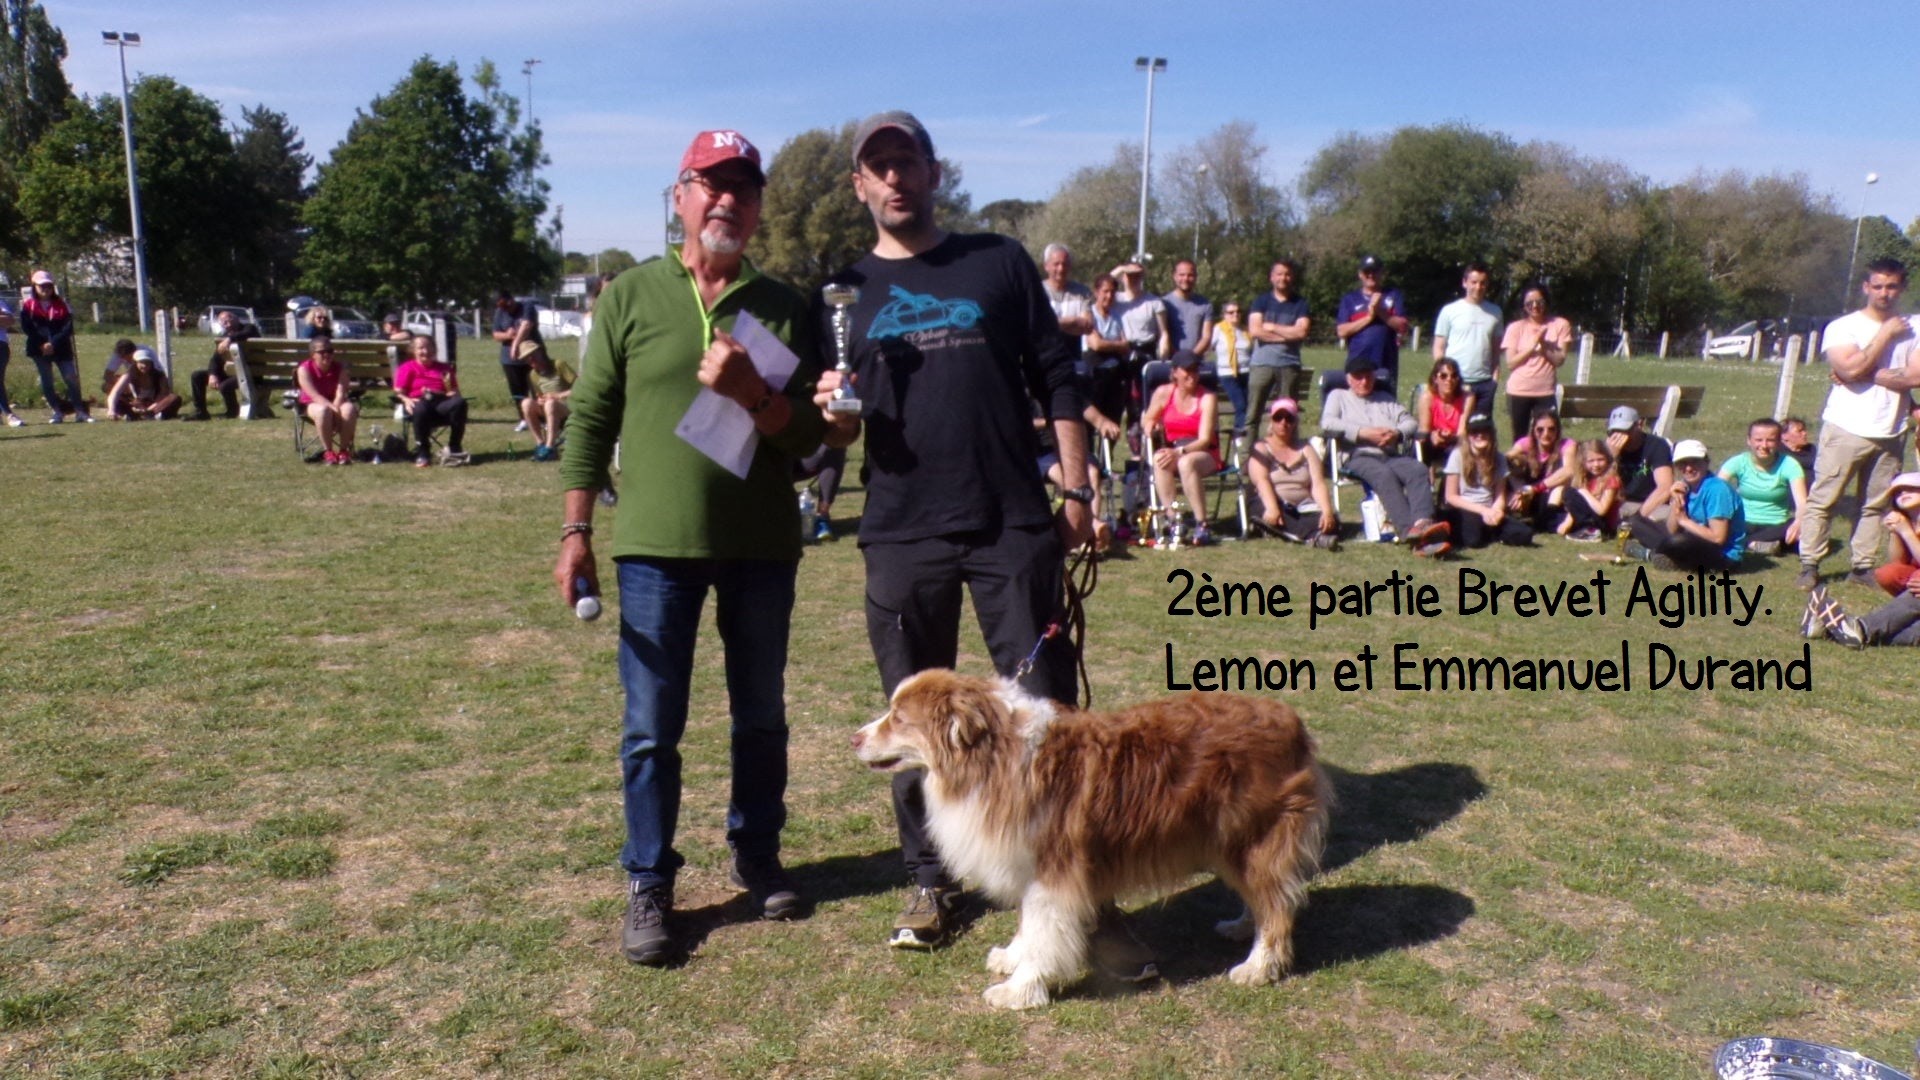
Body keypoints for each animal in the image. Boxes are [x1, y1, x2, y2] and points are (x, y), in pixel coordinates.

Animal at [856, 668, 1336, 1006]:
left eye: (899, 718)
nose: (853, 738)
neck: (992, 758)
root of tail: (1291, 720)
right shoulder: (1031, 868)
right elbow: (1029, 927)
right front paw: (1012, 959)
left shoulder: (1054, 871)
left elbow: (1044, 934)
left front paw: (1020, 990)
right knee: (1268, 896)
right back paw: (1241, 926)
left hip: (1253, 839)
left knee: (1278, 905)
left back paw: (1258, 966)